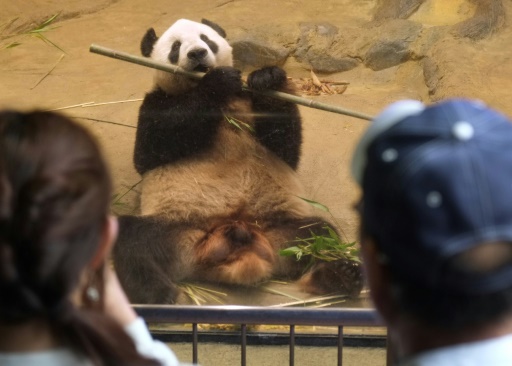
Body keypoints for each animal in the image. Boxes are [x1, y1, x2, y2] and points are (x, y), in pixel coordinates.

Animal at [114, 17, 362, 304]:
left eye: (206, 39)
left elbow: (285, 147)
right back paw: (159, 296)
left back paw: (340, 275)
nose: (197, 53)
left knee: (319, 234)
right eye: (176, 47)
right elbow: (149, 151)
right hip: (175, 230)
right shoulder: (155, 101)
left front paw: (267, 78)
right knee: (133, 242)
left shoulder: (247, 102)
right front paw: (217, 82)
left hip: (282, 230)